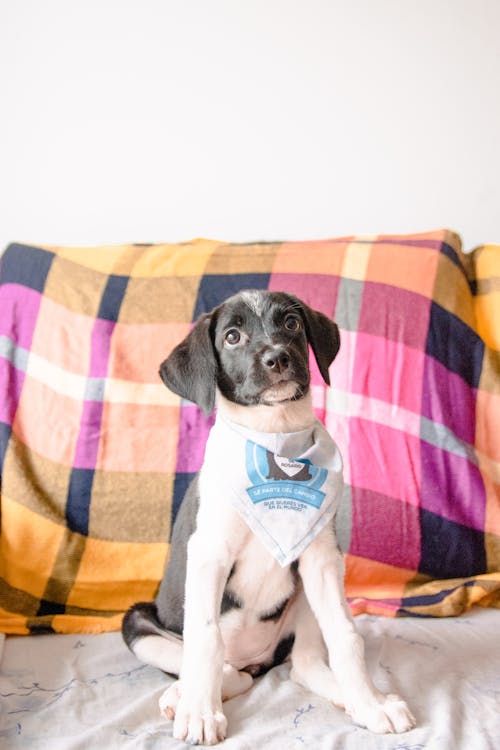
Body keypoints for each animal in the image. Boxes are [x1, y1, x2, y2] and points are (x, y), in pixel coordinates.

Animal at [123, 290, 416, 748]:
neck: (275, 440)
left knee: (303, 664)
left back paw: (347, 696)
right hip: (137, 620)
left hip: (305, 597)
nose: (277, 358)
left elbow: (346, 635)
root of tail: (255, 661)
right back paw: (183, 694)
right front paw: (199, 711)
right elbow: (205, 638)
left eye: (291, 324)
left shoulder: (321, 557)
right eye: (232, 336)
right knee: (227, 669)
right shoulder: (208, 554)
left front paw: (371, 703)